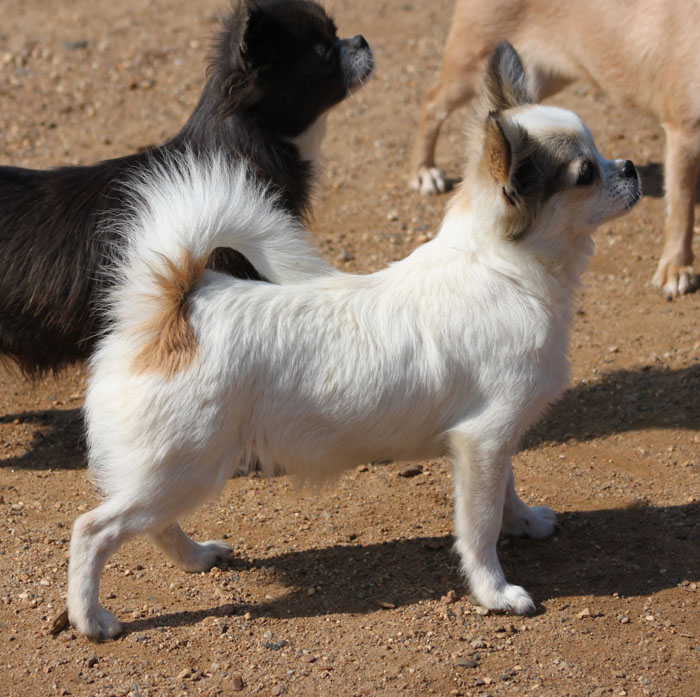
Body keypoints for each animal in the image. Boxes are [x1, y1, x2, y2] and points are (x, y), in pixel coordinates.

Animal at [67, 42, 640, 640]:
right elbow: (480, 528)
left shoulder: (496, 441)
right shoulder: (480, 442)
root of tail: (171, 309)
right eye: (585, 174)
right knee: (93, 530)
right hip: (182, 468)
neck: (504, 270)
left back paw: (197, 556)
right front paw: (496, 592)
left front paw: (525, 522)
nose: (631, 168)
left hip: (176, 471)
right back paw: (91, 618)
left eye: (601, 154)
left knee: (152, 527)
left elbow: (507, 489)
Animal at [410, 0, 697, 298]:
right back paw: (424, 170)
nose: (630, 166)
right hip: (469, 71)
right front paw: (677, 268)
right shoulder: (684, 132)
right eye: (586, 173)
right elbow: (682, 207)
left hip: (540, 81)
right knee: (431, 101)